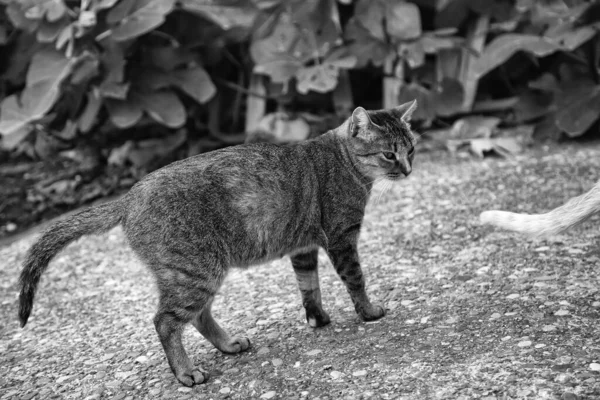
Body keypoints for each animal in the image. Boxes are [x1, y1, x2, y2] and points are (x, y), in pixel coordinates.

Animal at [17, 99, 418, 384]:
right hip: (196, 271)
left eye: (410, 149)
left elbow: (309, 287)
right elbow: (356, 280)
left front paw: (317, 319)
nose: (409, 169)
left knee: (198, 316)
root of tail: (128, 197)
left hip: (199, 273)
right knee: (165, 321)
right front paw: (368, 312)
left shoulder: (303, 248)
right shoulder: (341, 238)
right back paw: (185, 373)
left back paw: (228, 345)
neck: (343, 160)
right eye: (389, 153)